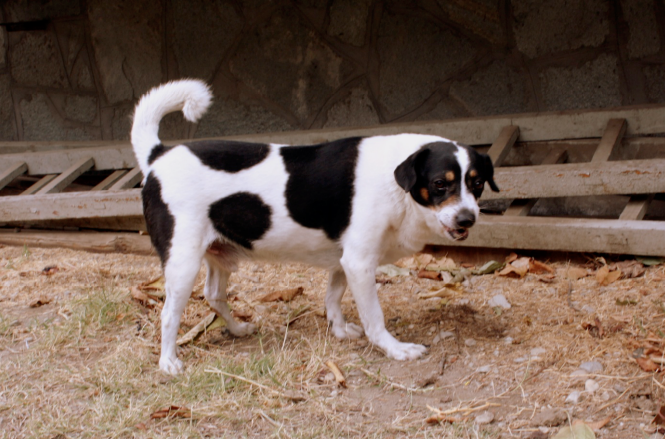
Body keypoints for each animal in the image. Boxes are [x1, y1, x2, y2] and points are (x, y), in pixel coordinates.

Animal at [130, 79, 496, 374]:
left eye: (477, 183)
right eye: (439, 184)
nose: (467, 218)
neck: (395, 182)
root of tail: (158, 156)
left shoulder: (344, 261)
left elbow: (333, 297)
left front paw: (340, 330)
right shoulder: (359, 262)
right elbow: (374, 318)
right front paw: (395, 349)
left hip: (218, 256)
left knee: (214, 295)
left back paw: (237, 329)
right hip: (182, 261)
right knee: (169, 314)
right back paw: (168, 361)